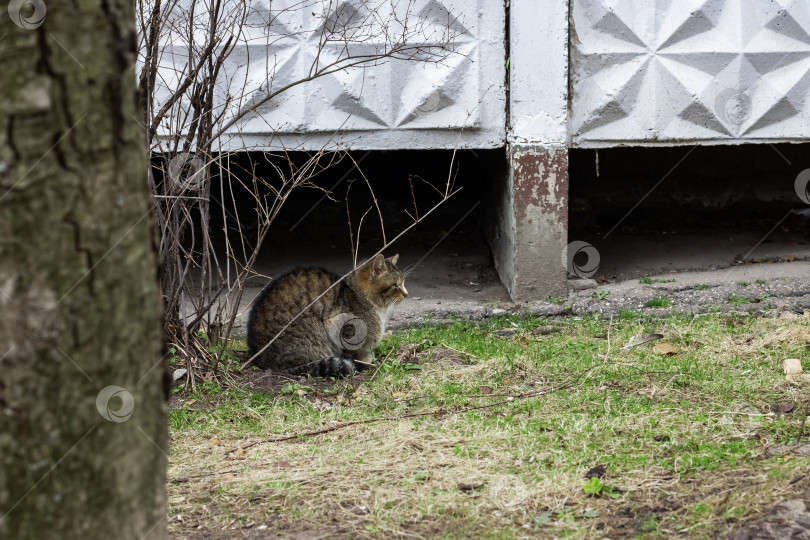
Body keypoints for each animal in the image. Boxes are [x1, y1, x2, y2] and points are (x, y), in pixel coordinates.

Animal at [245, 255, 410, 378]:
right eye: (395, 285)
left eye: (403, 282)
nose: (406, 294)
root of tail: (262, 360)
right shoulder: (340, 327)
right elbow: (352, 351)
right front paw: (364, 359)